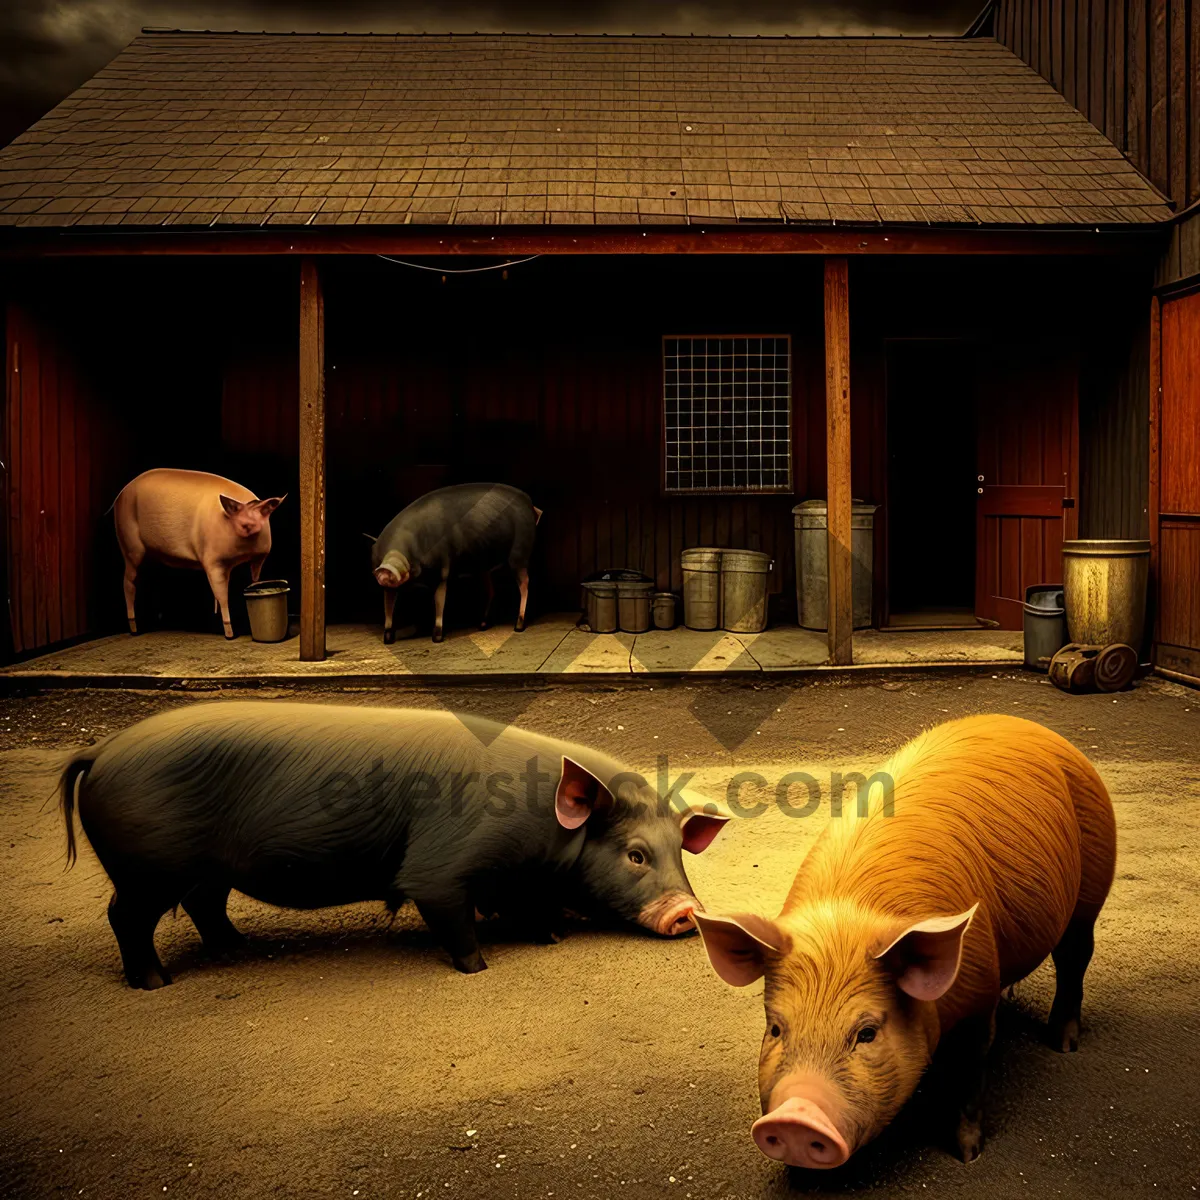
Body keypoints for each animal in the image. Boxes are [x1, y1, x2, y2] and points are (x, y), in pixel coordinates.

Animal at [60, 700, 724, 988]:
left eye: (679, 852)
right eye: (635, 854)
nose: (688, 912)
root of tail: (101, 750)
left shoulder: (517, 882)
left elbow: (527, 910)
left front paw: (552, 937)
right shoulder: (442, 868)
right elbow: (450, 914)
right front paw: (479, 968)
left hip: (204, 870)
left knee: (204, 905)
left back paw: (238, 948)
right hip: (146, 871)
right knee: (125, 916)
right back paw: (156, 983)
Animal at [115, 465, 286, 638]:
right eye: (242, 519)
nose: (249, 526)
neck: (240, 557)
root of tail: (120, 494)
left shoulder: (259, 558)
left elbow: (254, 581)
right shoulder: (212, 560)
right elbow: (222, 596)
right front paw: (229, 635)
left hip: (151, 557)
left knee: (147, 582)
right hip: (130, 546)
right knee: (128, 584)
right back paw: (135, 630)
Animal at [372, 480, 542, 643]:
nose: (385, 568)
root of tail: (530, 503)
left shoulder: (443, 569)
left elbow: (439, 601)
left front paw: (437, 638)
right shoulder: (390, 588)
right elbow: (388, 606)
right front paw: (387, 639)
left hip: (520, 551)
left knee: (524, 583)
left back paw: (518, 626)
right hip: (484, 565)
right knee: (491, 589)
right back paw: (482, 625)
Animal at [696, 715, 1113, 1166]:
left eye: (866, 1033)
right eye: (775, 1029)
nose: (794, 1119)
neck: (847, 915)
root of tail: (1033, 725)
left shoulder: (978, 991)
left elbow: (971, 1071)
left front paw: (968, 1155)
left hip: (1092, 882)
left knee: (1075, 958)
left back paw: (1064, 1044)